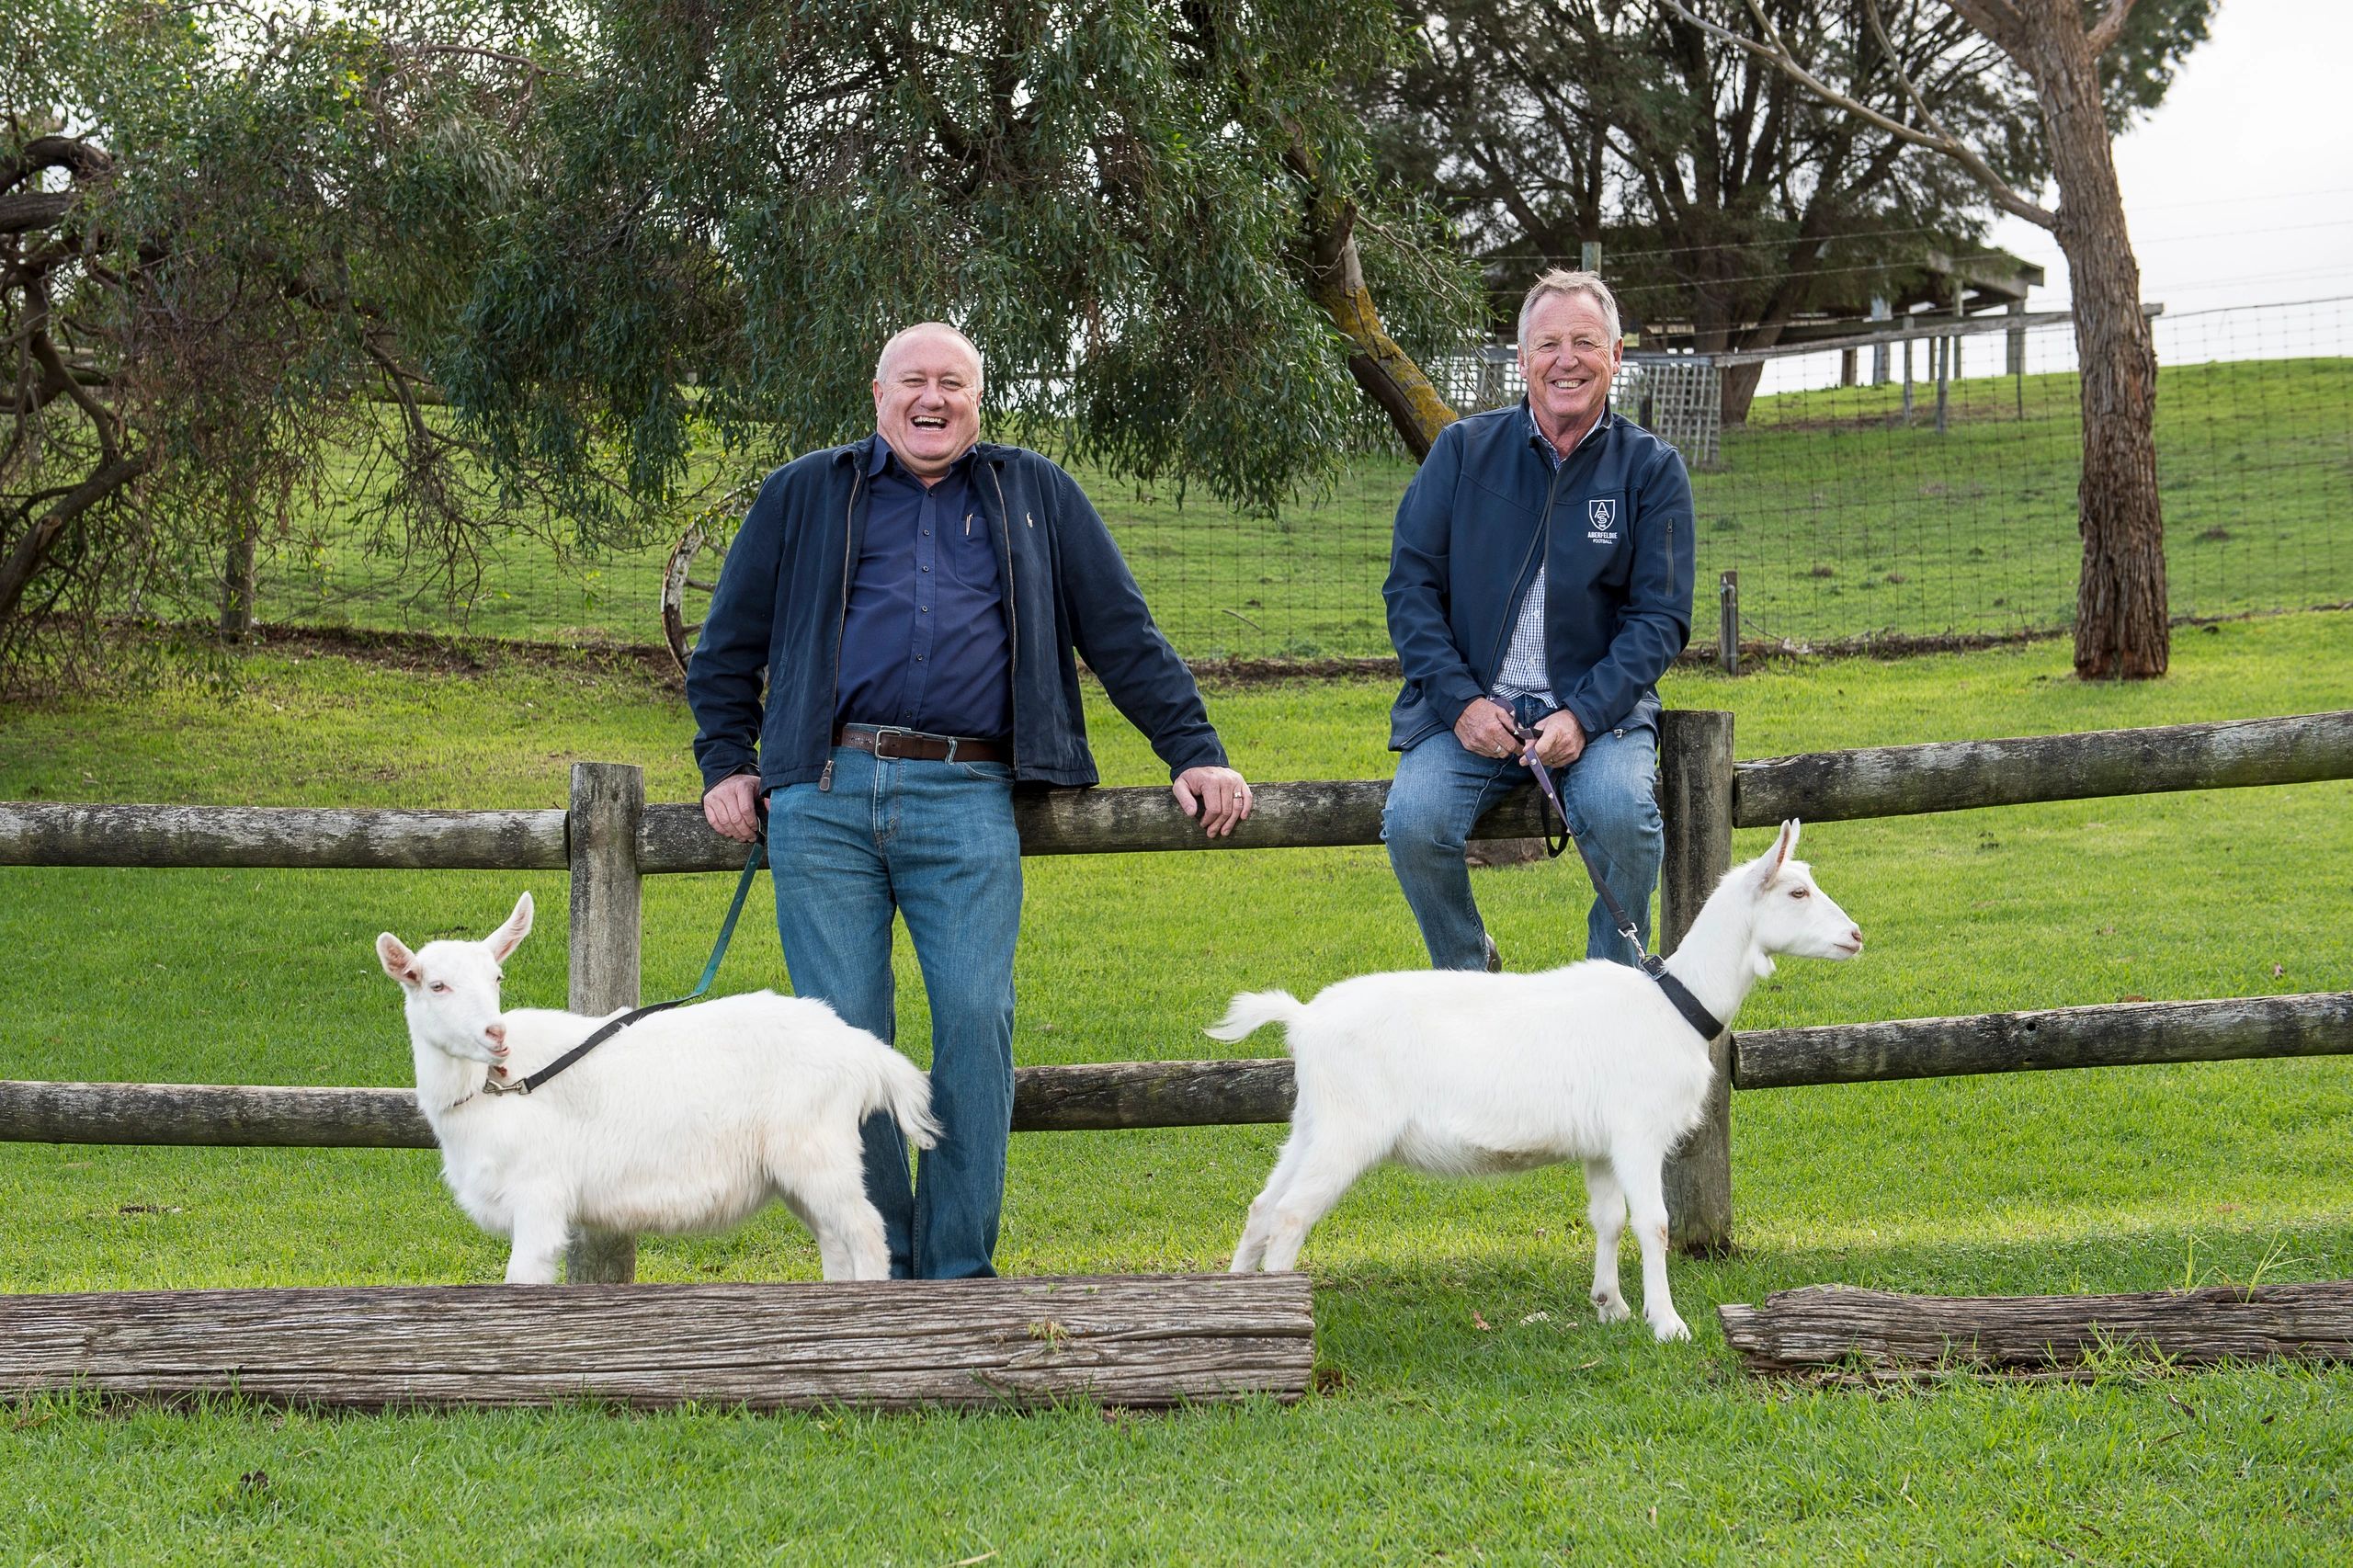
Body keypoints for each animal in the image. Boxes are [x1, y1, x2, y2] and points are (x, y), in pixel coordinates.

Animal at [375, 892, 938, 1284]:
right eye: (435, 985)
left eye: (497, 977)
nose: (496, 1035)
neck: (499, 1089)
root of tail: (860, 1049)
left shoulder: (539, 1195)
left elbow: (522, 1279)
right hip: (796, 1168)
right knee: (833, 1239)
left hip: (818, 1150)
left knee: (867, 1233)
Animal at [1208, 818, 1860, 1341]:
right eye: (1797, 891)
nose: (1855, 935)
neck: (1675, 1002)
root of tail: (1305, 1020)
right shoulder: (1638, 1133)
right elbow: (1654, 1223)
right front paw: (1667, 1323)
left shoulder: (1600, 1146)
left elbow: (1609, 1219)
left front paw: (1611, 1306)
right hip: (1351, 1128)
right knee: (1290, 1216)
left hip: (1313, 1122)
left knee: (1262, 1207)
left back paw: (1234, 1312)